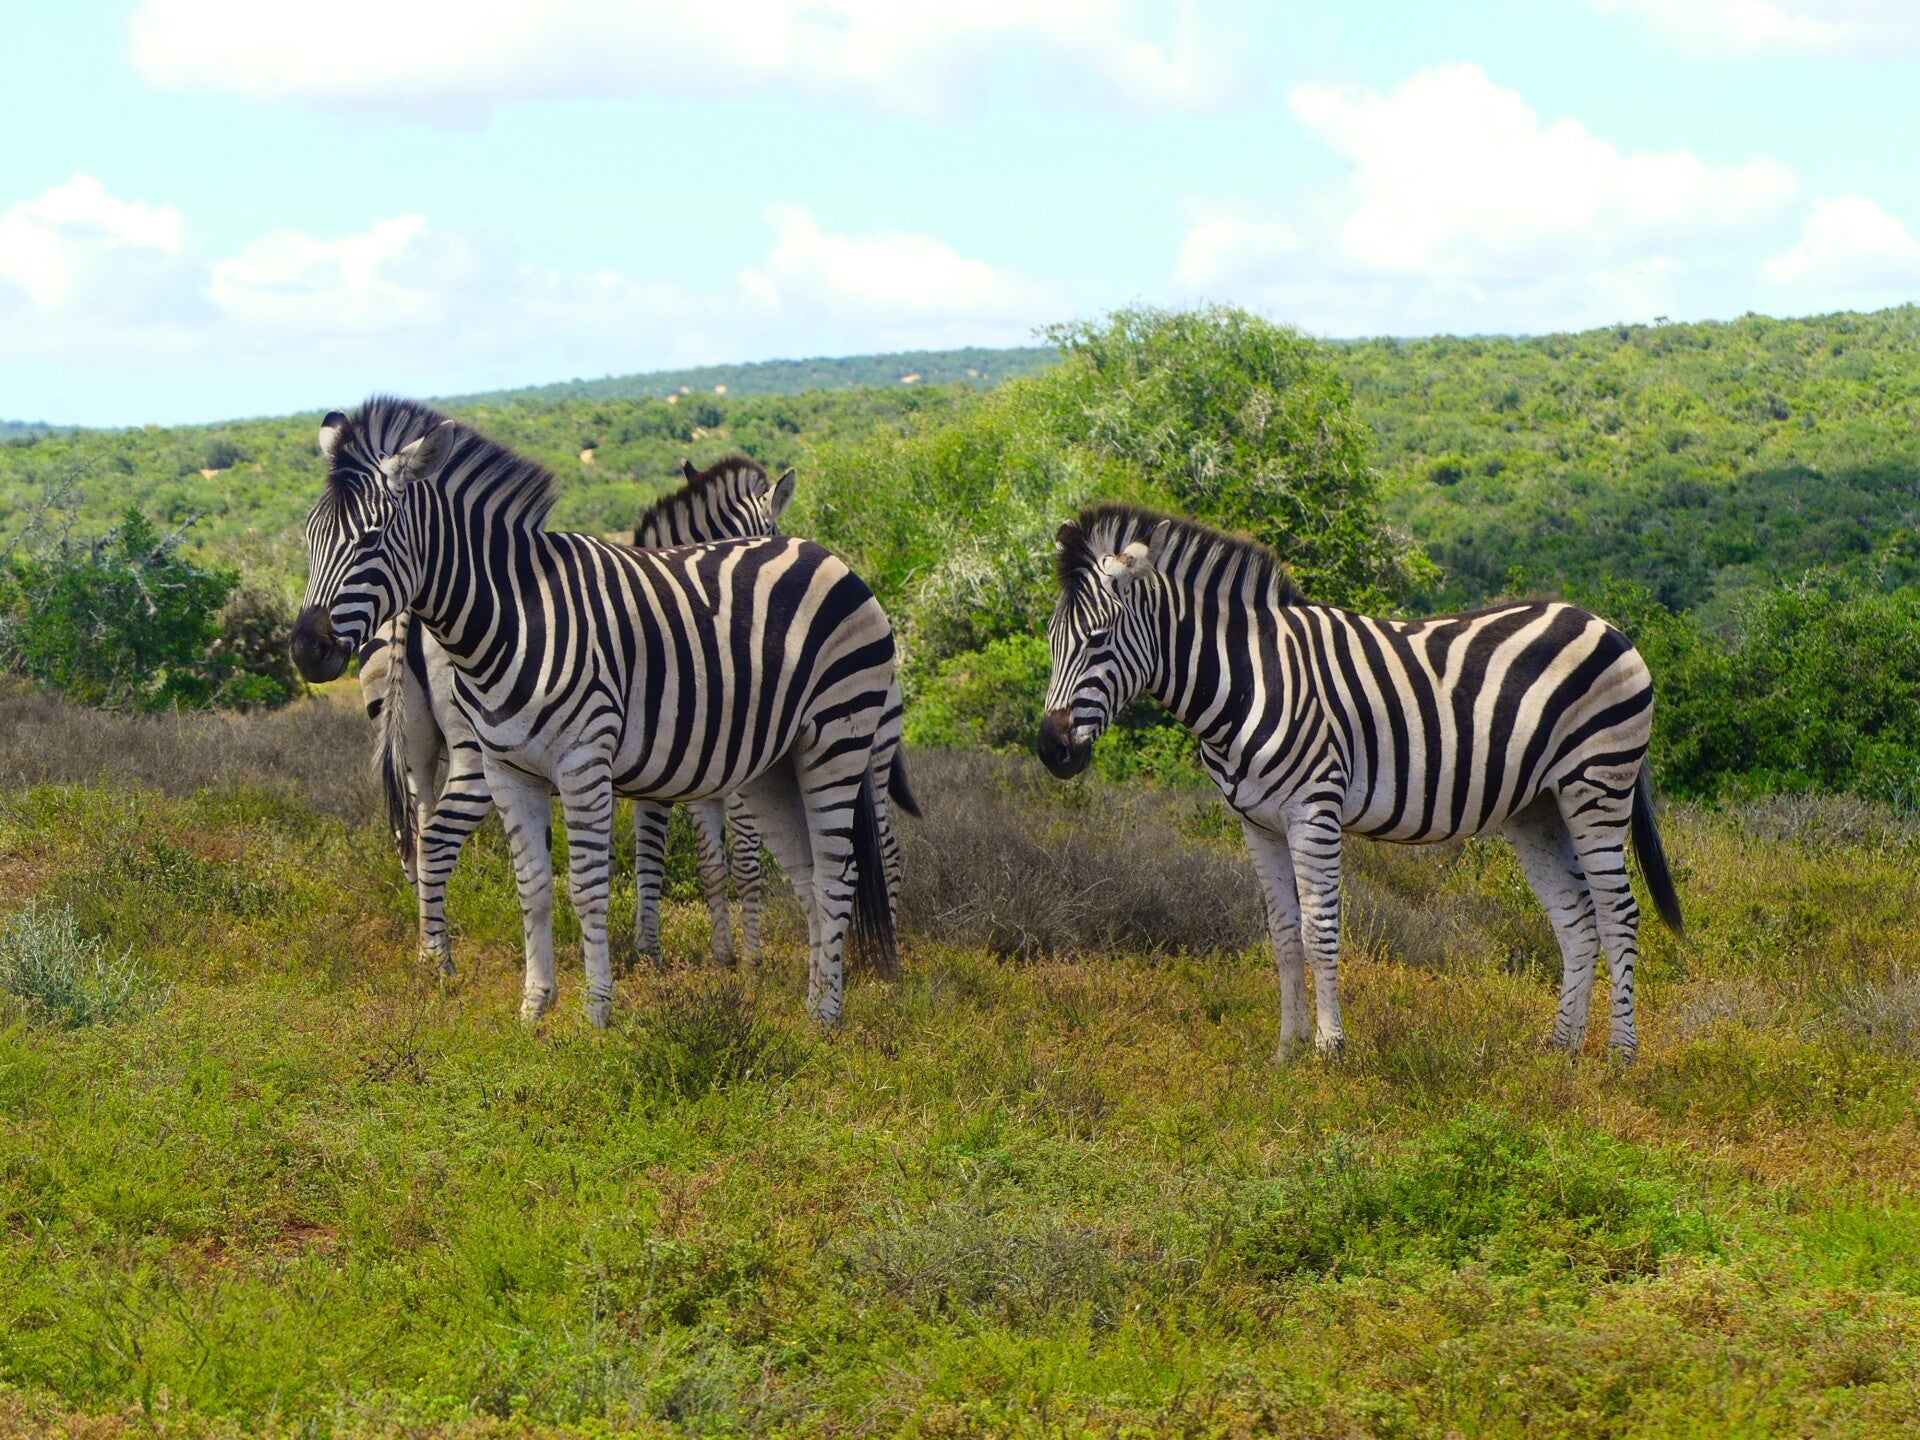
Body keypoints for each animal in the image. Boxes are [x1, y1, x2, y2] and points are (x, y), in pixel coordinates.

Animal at [360, 449, 800, 974]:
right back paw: (440, 962)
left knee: (414, 838)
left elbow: (678, 857)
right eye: (772, 534)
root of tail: (411, 609)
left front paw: (702, 953)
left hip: (414, 752)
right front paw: (734, 958)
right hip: (474, 756)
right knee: (436, 841)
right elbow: (699, 855)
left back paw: (425, 947)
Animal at [1036, 504, 1683, 1061]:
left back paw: (1619, 1058)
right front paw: (1286, 1053)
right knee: (1577, 920)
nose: (1051, 750)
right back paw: (1560, 1053)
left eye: (1097, 639)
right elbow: (1282, 933)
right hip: (1539, 808)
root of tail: (1606, 624)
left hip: (1597, 785)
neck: (1249, 680)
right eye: (1050, 640)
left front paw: (1330, 1050)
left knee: (1618, 913)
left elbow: (1320, 928)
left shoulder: (1314, 809)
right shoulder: (1257, 824)